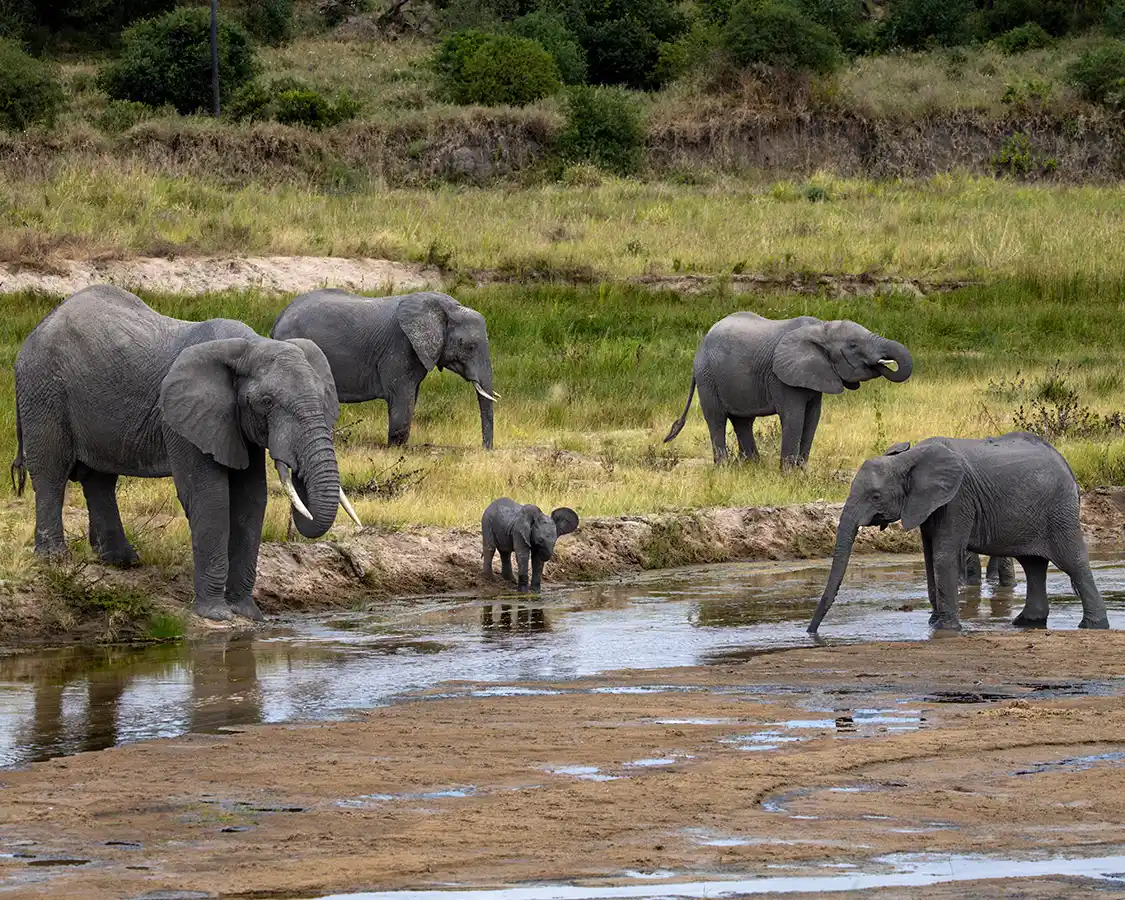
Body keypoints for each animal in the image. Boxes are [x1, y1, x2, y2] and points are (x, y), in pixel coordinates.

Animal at [11, 285, 361, 622]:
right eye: (266, 403)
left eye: (325, 398)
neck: (250, 346)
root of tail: (38, 328)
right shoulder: (185, 420)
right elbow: (210, 498)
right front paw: (216, 615)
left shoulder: (234, 423)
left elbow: (251, 499)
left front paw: (248, 614)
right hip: (44, 390)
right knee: (51, 472)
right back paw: (55, 560)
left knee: (100, 480)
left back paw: (122, 561)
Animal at [271, 289, 497, 449]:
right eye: (469, 347)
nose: (486, 449)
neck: (446, 308)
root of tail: (278, 319)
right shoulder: (400, 347)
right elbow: (402, 396)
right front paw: (396, 448)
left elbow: (411, 396)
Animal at [664, 312, 913, 466]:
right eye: (853, 345)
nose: (881, 364)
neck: (821, 328)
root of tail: (701, 345)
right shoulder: (782, 378)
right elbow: (794, 417)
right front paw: (789, 474)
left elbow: (812, 417)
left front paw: (802, 472)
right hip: (707, 377)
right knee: (716, 419)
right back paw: (724, 468)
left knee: (743, 421)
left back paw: (753, 467)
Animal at [807, 432, 1109, 633]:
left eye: (876, 496)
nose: (811, 633)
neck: (909, 459)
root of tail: (1067, 466)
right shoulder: (928, 504)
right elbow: (929, 557)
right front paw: (934, 622)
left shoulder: (956, 498)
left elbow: (943, 555)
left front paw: (946, 629)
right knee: (1033, 564)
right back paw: (1027, 622)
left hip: (1059, 510)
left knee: (1073, 561)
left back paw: (1092, 626)